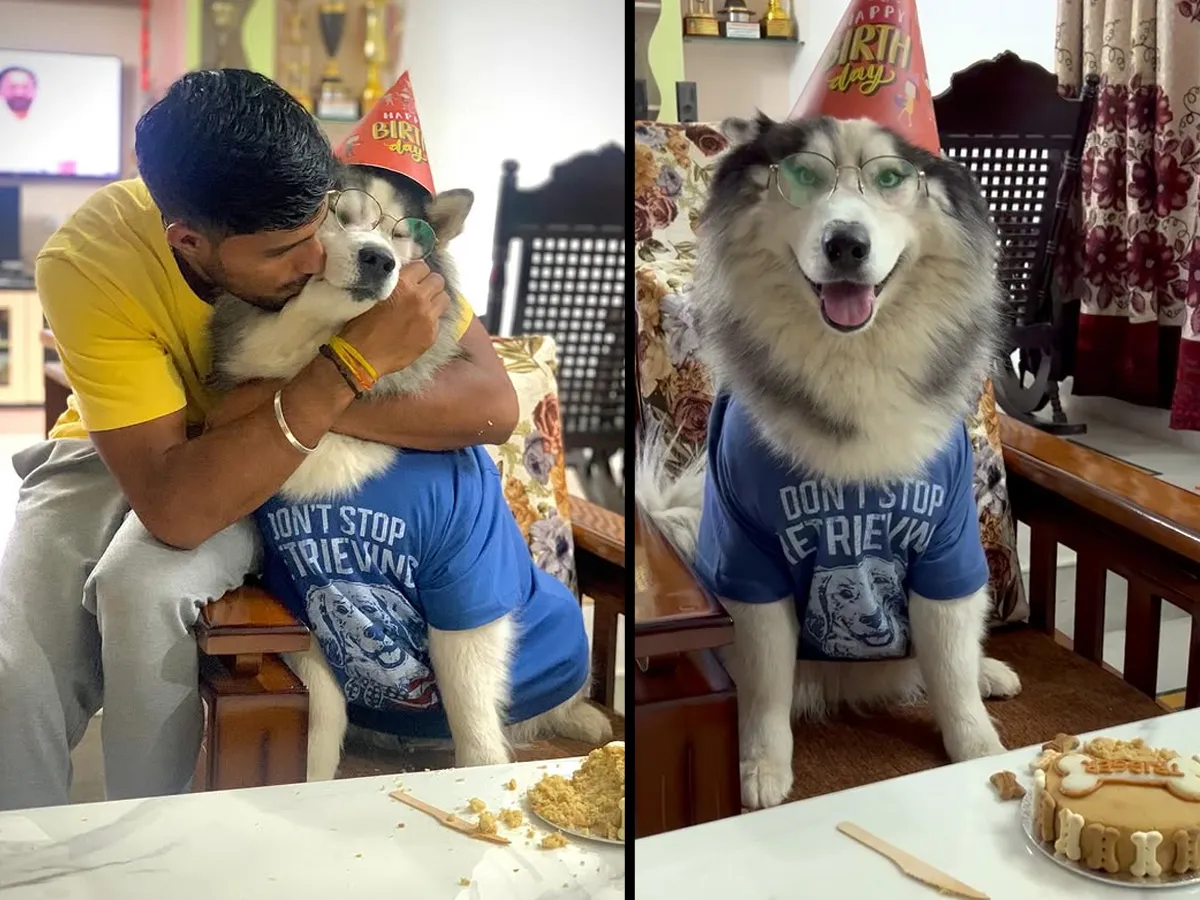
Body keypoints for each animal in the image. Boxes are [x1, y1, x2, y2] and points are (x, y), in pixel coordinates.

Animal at [205, 164, 609, 782]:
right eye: (338, 215)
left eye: (402, 235)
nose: (378, 260)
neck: (330, 402)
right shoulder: (298, 596)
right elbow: (322, 715)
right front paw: (313, 779)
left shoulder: (468, 583)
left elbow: (473, 718)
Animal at [638, 116, 1022, 816]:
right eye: (803, 176)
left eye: (891, 178)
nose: (846, 243)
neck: (853, 365)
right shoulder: (751, 562)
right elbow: (764, 686)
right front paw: (760, 764)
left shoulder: (949, 547)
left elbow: (951, 672)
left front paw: (977, 746)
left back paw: (988, 672)